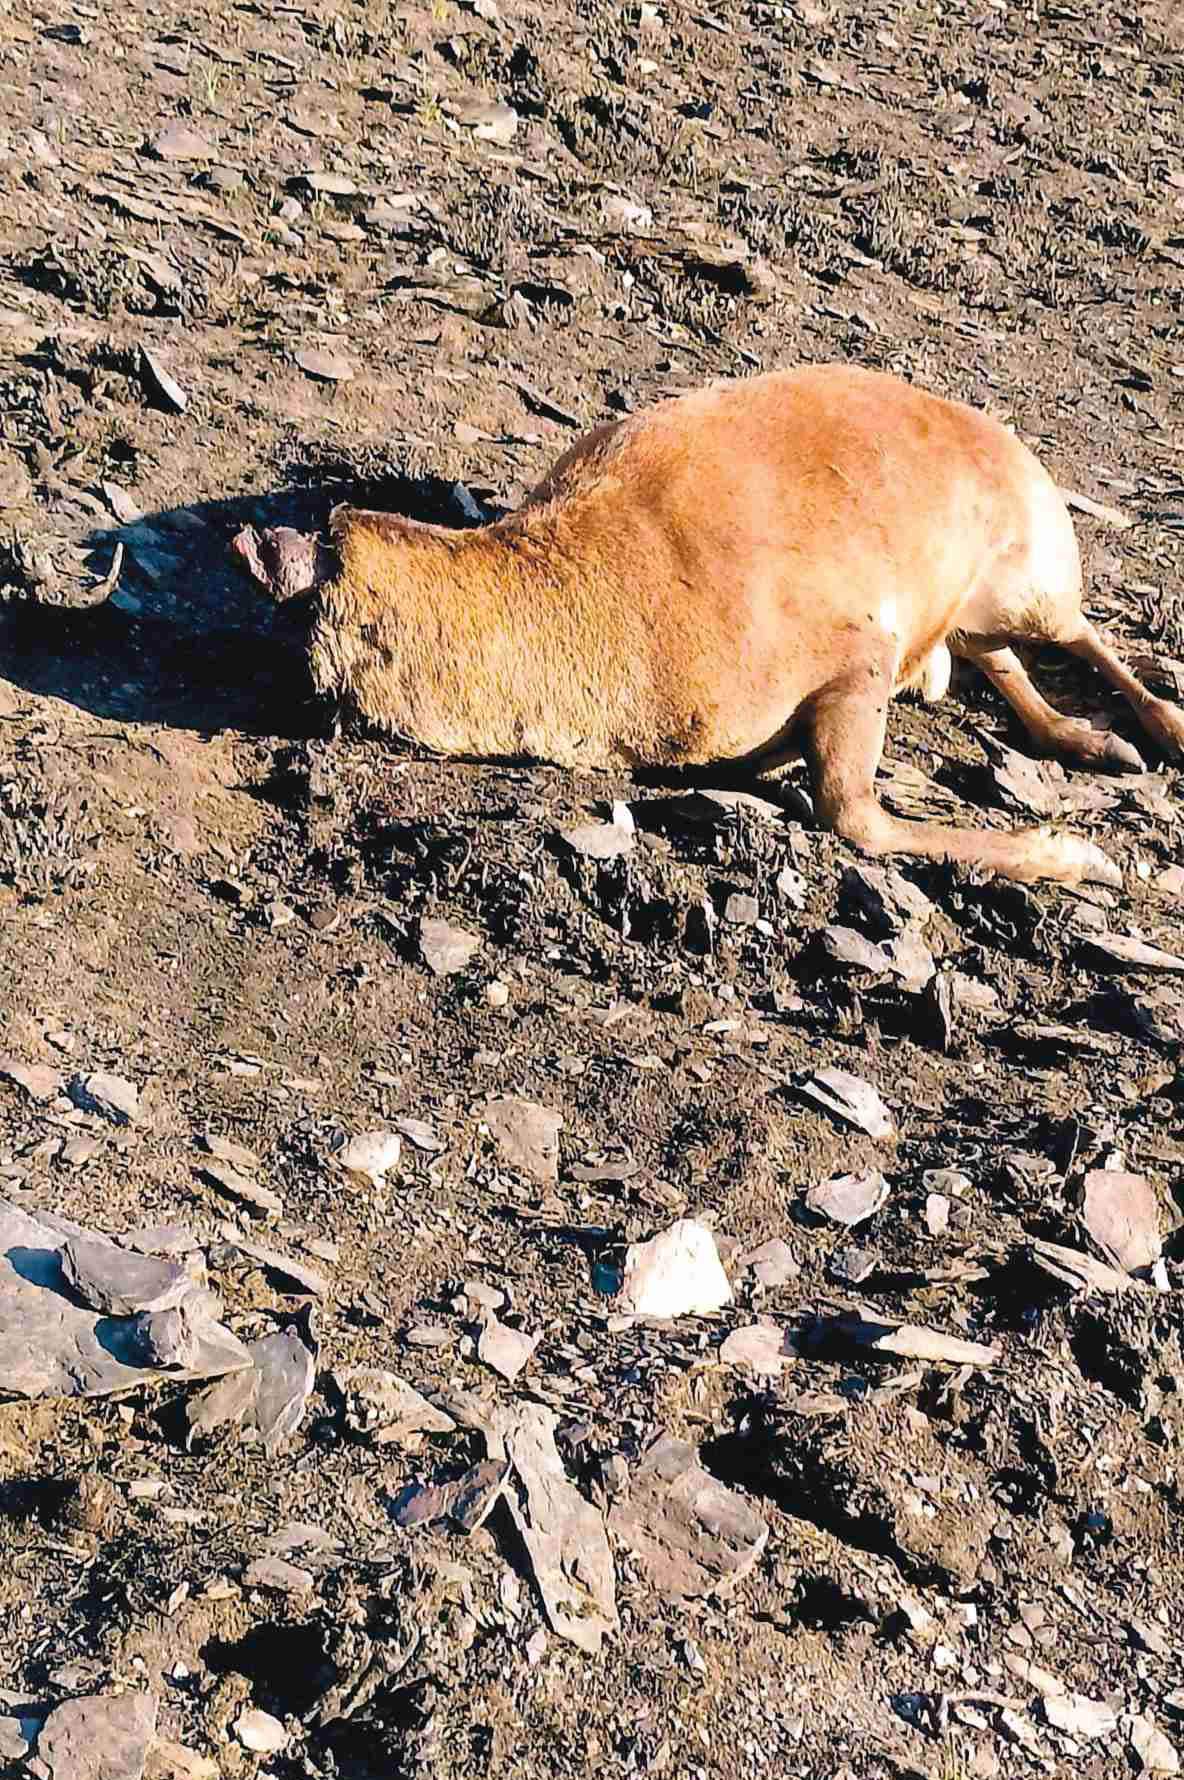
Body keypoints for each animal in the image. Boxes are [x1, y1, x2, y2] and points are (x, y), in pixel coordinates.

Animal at [232, 362, 1184, 887]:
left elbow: (853, 813)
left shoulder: (855, 653)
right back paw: (1086, 738)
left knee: (1073, 631)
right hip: (979, 608)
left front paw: (1077, 856)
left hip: (1030, 574)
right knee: (994, 656)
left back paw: (1154, 725)